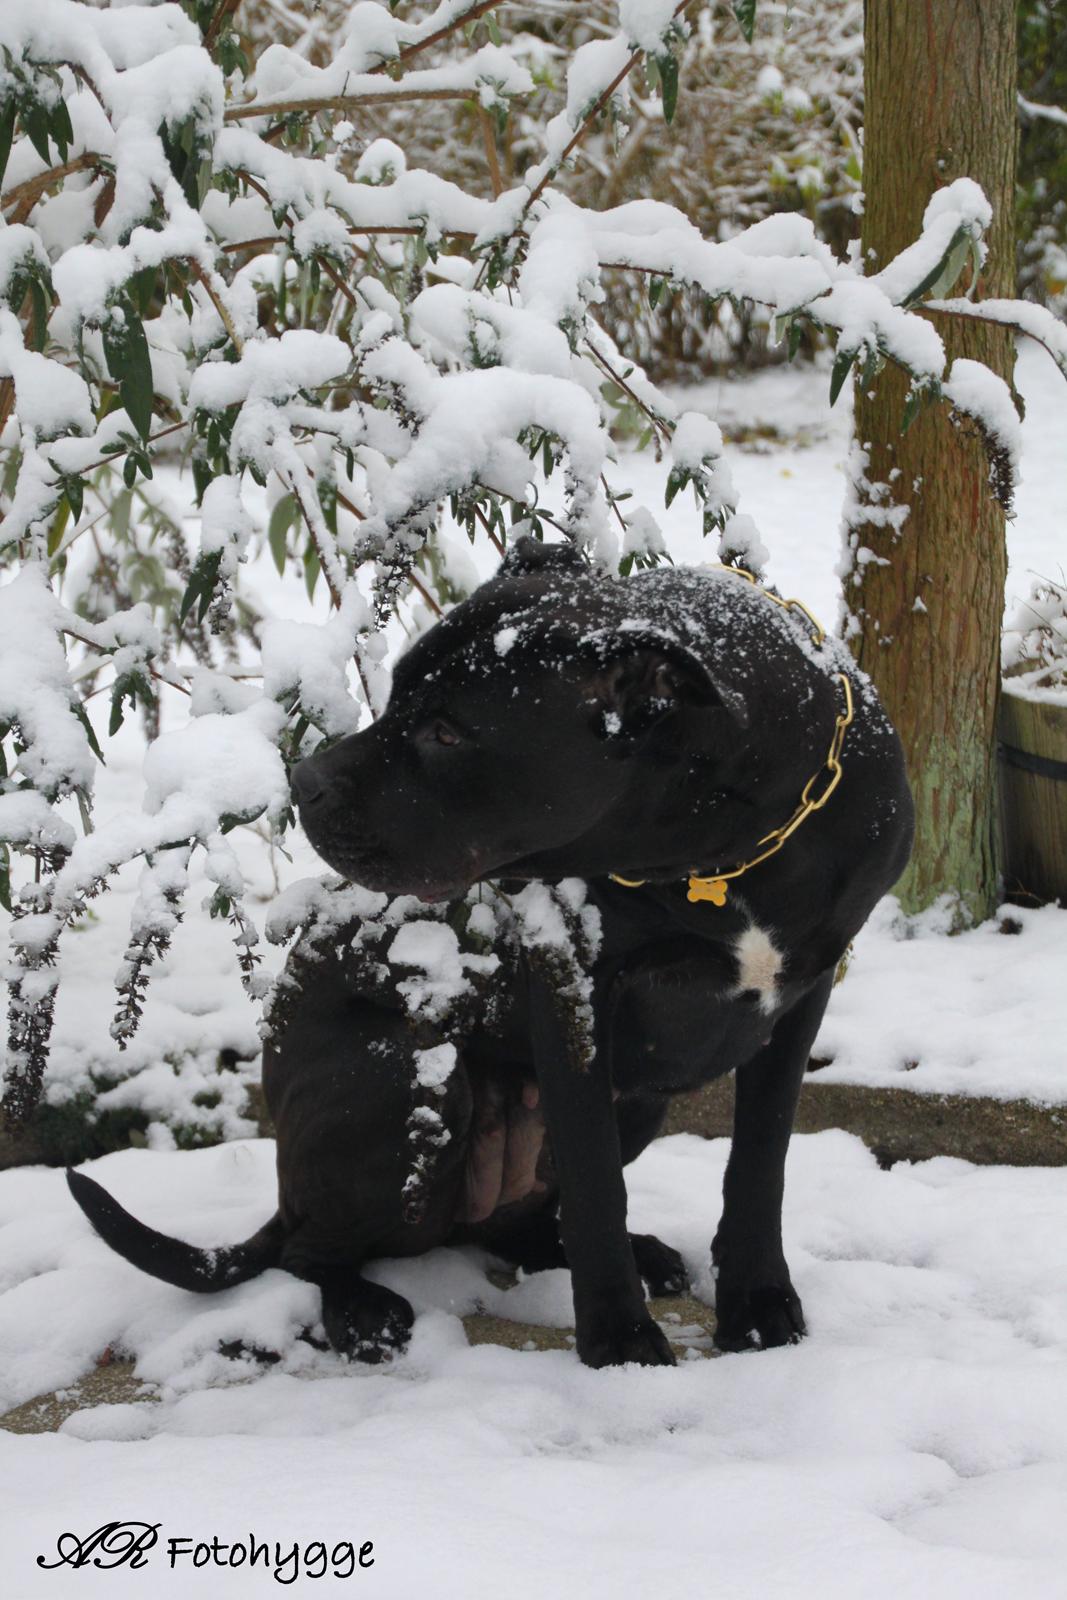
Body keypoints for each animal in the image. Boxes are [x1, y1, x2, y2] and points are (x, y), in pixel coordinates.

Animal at [66, 544, 915, 1369]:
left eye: (447, 732)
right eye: (396, 695)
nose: (302, 781)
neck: (725, 854)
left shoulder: (801, 996)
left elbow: (757, 1166)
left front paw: (757, 1304)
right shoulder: (575, 990)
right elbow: (595, 1182)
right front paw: (619, 1345)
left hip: (636, 1100)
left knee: (512, 1227)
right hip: (406, 1076)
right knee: (308, 1252)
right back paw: (363, 1312)